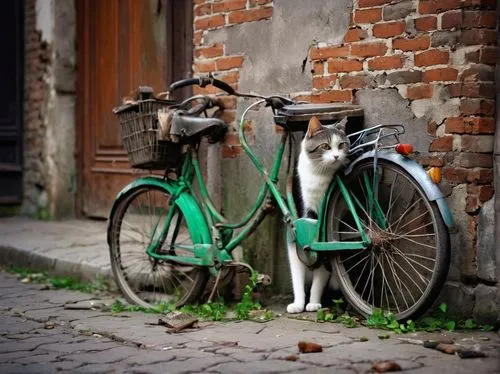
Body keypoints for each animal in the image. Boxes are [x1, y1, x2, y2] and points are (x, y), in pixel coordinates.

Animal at [288, 114, 350, 312]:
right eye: (326, 146)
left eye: (341, 145)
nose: (337, 156)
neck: (319, 175)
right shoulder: (305, 211)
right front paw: (299, 304)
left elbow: (321, 273)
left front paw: (314, 303)